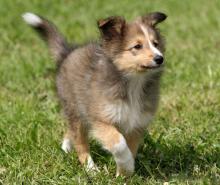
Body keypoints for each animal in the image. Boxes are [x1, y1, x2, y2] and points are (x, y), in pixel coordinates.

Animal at [22, 11, 167, 176]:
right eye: (137, 46)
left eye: (155, 44)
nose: (160, 58)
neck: (134, 83)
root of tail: (67, 52)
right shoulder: (100, 120)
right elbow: (119, 143)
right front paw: (127, 166)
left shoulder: (137, 124)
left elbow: (130, 148)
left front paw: (124, 174)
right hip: (75, 110)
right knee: (80, 142)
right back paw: (90, 169)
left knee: (71, 132)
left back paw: (67, 149)